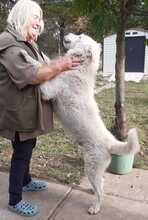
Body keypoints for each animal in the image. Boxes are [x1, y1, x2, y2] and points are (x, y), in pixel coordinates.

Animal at [22, 33, 140, 214]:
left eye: (80, 36)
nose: (66, 34)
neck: (81, 67)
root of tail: (111, 142)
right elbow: (47, 62)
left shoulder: (46, 91)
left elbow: (38, 65)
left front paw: (25, 55)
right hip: (95, 170)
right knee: (101, 184)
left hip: (91, 168)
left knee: (101, 192)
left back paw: (95, 207)